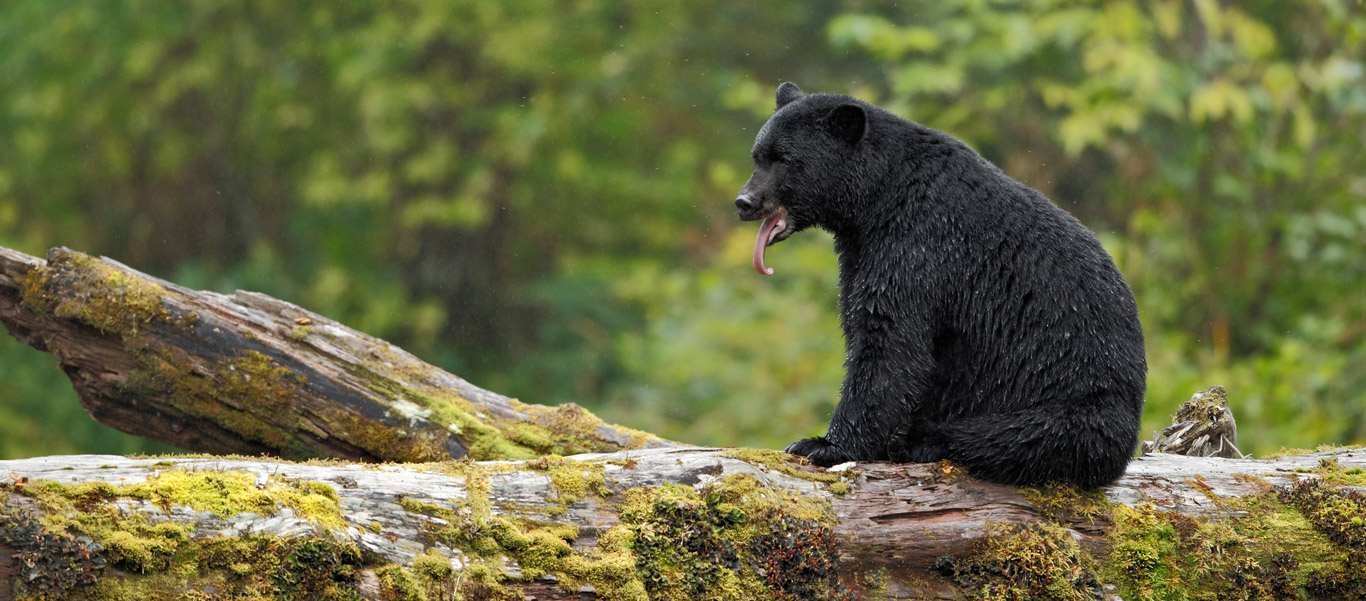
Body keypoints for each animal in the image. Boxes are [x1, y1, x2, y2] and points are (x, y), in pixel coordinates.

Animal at [734, 82, 1146, 488]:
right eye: (758, 155)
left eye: (784, 159)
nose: (745, 201)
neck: (878, 197)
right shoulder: (861, 251)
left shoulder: (919, 245)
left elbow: (892, 342)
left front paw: (823, 444)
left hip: (1074, 406)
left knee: (1006, 436)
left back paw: (919, 441)